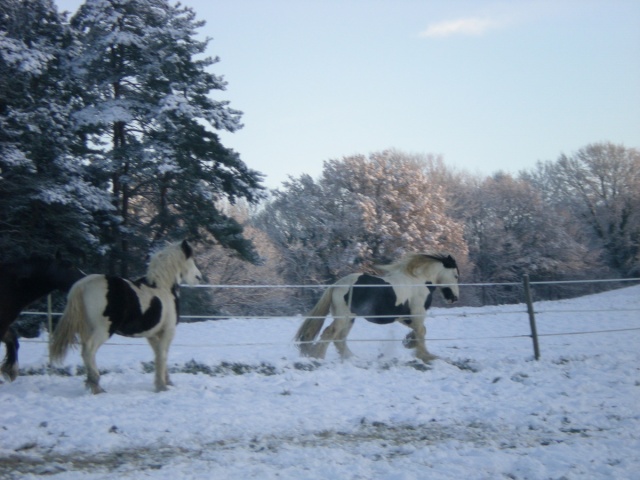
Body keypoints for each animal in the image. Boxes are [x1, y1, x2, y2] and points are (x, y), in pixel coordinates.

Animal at [51, 240, 201, 394]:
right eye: (191, 259)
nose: (199, 277)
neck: (163, 288)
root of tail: (83, 284)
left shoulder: (152, 334)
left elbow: (159, 355)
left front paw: (166, 382)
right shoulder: (168, 331)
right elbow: (163, 355)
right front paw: (162, 386)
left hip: (87, 329)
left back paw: (92, 384)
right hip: (103, 330)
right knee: (89, 350)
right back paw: (97, 386)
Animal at [296, 253, 460, 362]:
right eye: (456, 275)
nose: (454, 298)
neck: (418, 282)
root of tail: (336, 285)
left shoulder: (404, 317)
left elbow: (419, 331)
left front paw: (409, 343)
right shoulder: (417, 313)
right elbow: (421, 332)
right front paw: (426, 356)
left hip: (349, 318)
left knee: (339, 339)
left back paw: (353, 358)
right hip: (343, 317)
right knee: (329, 334)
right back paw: (318, 358)